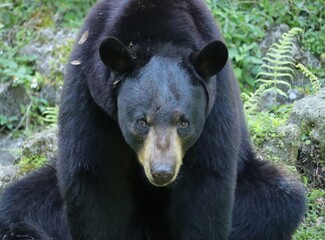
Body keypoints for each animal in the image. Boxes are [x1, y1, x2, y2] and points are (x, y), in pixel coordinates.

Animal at [0, 0, 306, 240]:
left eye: (184, 122)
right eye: (141, 121)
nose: (162, 172)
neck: (158, 35)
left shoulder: (216, 105)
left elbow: (207, 181)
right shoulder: (89, 92)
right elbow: (92, 176)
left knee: (281, 198)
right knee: (16, 208)